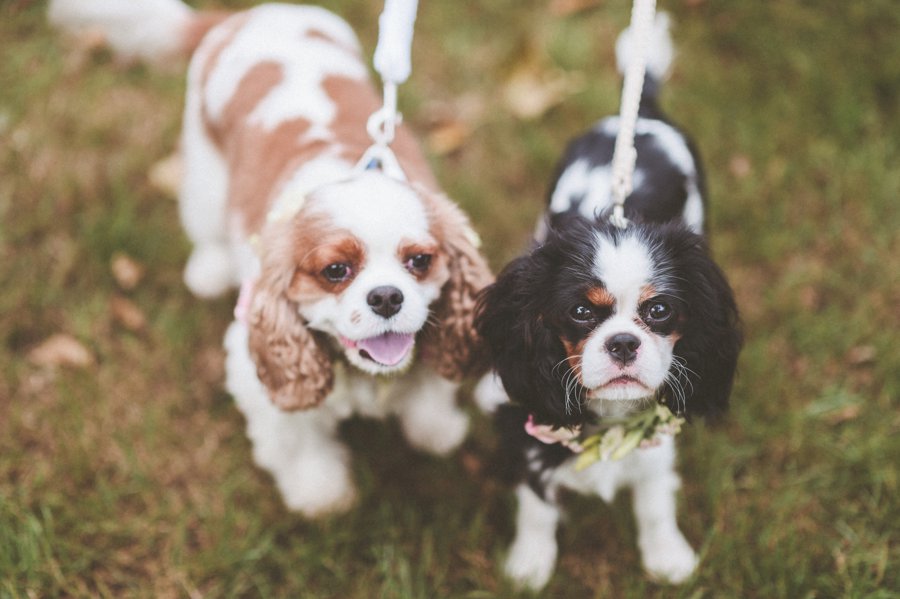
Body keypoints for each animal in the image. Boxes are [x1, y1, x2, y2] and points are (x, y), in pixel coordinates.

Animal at [51, 0, 492, 516]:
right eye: (335, 270)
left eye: (419, 261)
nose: (387, 297)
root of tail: (245, 15)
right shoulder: (258, 377)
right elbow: (300, 449)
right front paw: (322, 497)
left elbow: (429, 397)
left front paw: (437, 430)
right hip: (205, 171)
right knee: (206, 225)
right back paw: (209, 269)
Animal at [474, 12, 740, 592]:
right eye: (580, 312)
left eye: (660, 311)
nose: (622, 343)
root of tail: (644, 112)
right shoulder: (534, 427)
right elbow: (536, 504)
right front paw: (530, 564)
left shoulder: (657, 432)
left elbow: (655, 497)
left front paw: (667, 555)